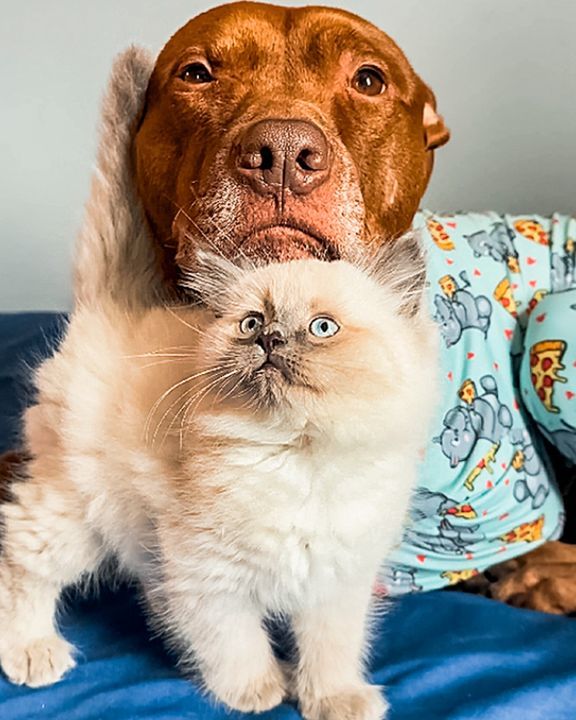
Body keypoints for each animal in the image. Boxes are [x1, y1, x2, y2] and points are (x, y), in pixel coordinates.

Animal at [0, 243, 436, 720]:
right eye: (252, 323)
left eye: (323, 327)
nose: (270, 339)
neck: (299, 460)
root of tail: (110, 309)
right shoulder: (208, 574)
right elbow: (235, 642)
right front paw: (257, 692)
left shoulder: (337, 580)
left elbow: (331, 650)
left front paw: (334, 699)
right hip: (74, 518)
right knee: (20, 562)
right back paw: (31, 651)